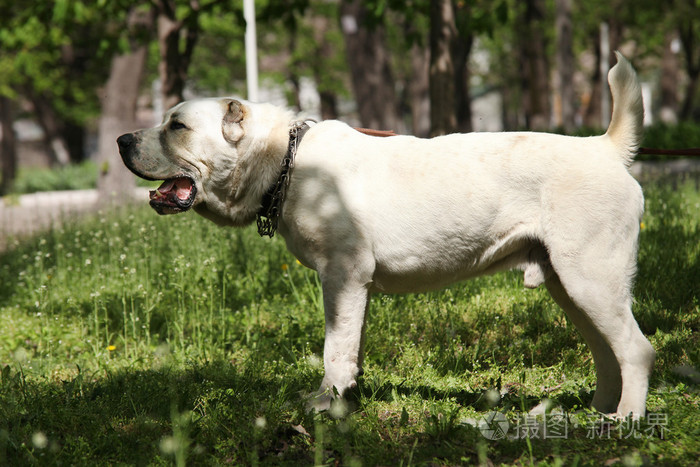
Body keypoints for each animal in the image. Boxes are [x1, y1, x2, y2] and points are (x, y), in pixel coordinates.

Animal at [117, 53, 652, 418]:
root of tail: (604, 148)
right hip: (569, 286)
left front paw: (324, 405)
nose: (122, 139)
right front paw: (345, 398)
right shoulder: (357, 287)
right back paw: (598, 412)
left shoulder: (342, 277)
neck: (285, 159)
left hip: (591, 278)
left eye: (177, 126)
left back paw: (625, 420)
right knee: (607, 352)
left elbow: (334, 347)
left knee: (636, 350)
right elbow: (351, 346)